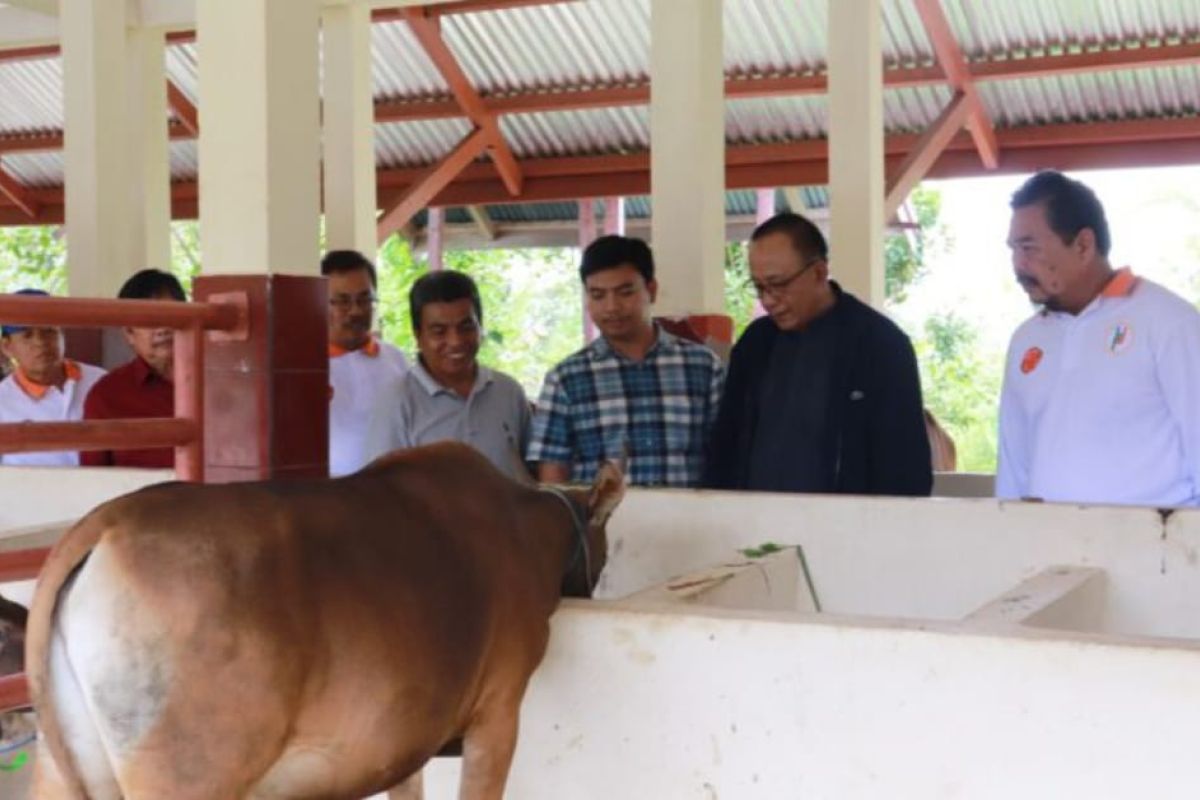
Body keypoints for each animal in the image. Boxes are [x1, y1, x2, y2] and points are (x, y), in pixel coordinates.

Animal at [25, 441, 628, 796]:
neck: (525, 527)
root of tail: (104, 526)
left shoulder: (406, 741)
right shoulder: (497, 713)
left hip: (60, 767)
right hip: (186, 772)